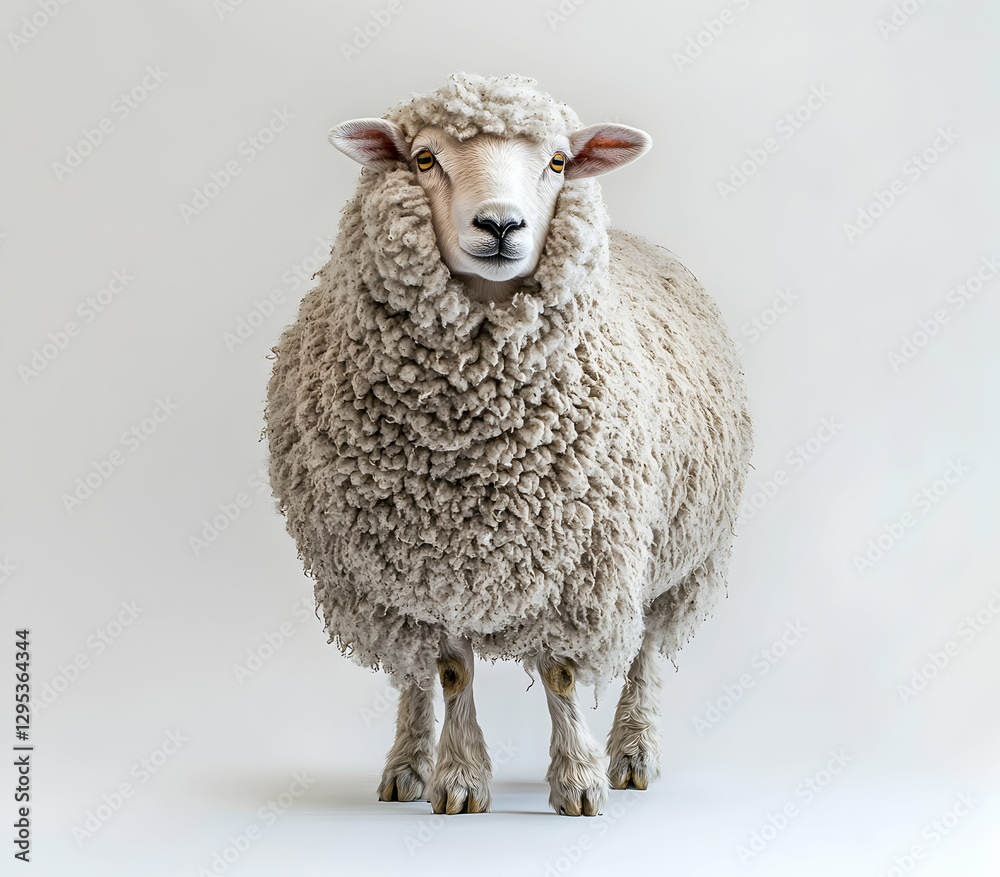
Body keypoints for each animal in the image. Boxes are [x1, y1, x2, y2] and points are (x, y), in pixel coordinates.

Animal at [265, 72, 753, 817]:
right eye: (424, 159)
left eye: (557, 161)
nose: (500, 226)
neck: (472, 439)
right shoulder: (430, 562)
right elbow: (449, 669)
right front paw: (461, 777)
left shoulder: (582, 561)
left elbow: (560, 672)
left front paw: (578, 778)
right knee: (413, 670)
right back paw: (407, 765)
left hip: (678, 555)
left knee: (645, 650)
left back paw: (632, 751)